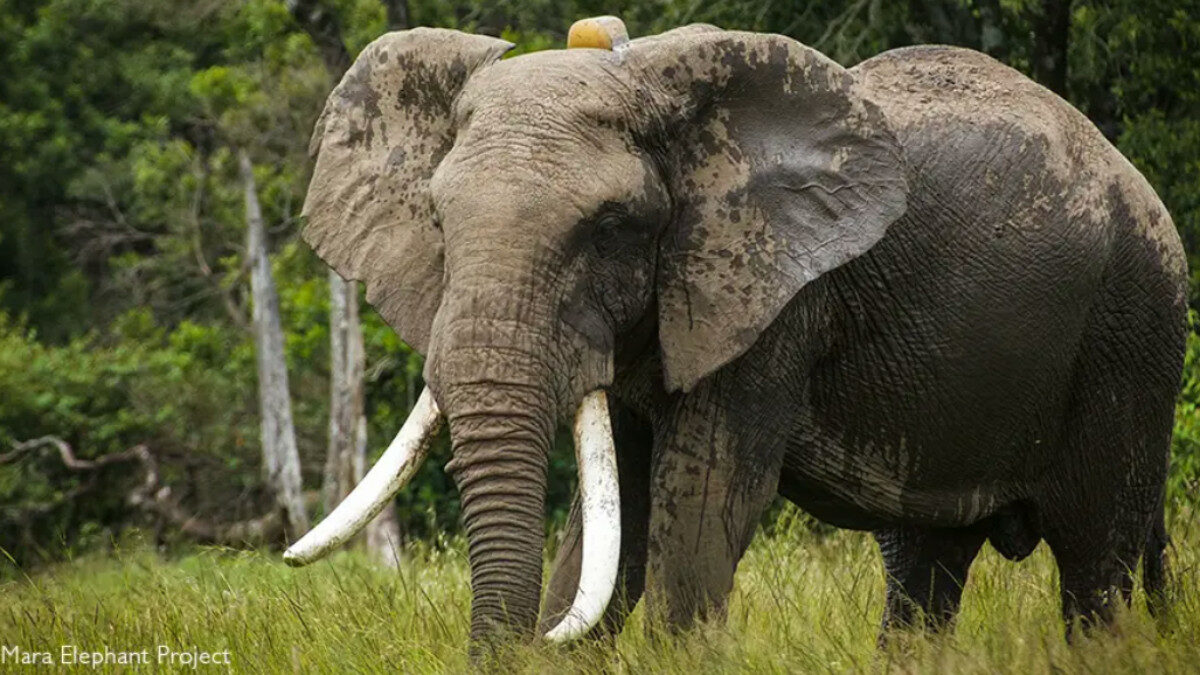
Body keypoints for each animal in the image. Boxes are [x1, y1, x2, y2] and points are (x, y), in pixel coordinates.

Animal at [283, 19, 1187, 648]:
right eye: (439, 221)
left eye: (610, 227)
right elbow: (613, 519)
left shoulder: (775, 306)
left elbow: (698, 501)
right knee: (925, 566)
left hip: (1135, 332)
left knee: (1095, 570)